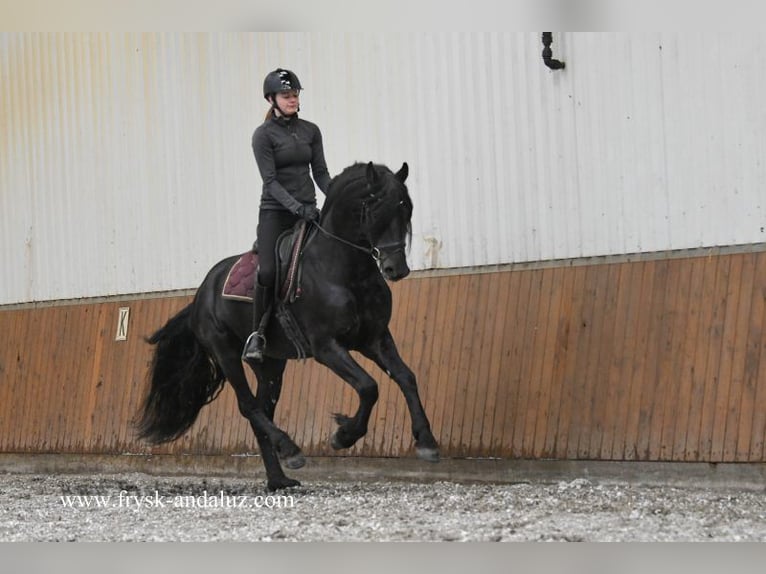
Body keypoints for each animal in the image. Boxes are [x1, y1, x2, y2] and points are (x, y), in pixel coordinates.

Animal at [136, 161, 440, 491]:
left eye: (406, 209)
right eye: (375, 210)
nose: (396, 269)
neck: (345, 270)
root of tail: (201, 293)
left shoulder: (375, 339)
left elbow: (406, 377)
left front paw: (427, 442)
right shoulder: (326, 347)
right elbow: (368, 386)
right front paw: (343, 435)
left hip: (270, 364)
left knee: (262, 409)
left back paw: (279, 478)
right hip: (225, 353)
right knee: (249, 406)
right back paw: (290, 449)